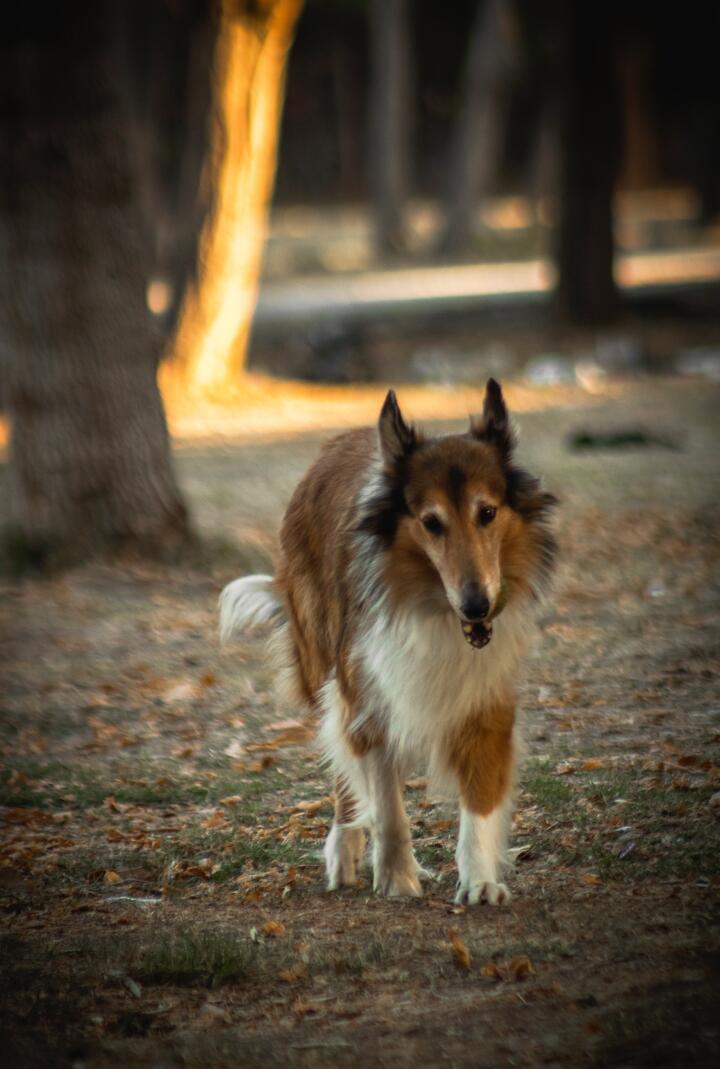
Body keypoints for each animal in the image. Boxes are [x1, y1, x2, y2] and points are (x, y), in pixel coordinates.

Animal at [218, 380, 555, 906]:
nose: (478, 606)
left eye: (487, 513)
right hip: (323, 662)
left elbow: (479, 799)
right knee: (342, 767)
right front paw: (396, 877)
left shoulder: (486, 695)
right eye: (431, 522)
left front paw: (479, 880)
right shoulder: (367, 693)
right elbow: (386, 802)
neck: (432, 602)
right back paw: (344, 849)